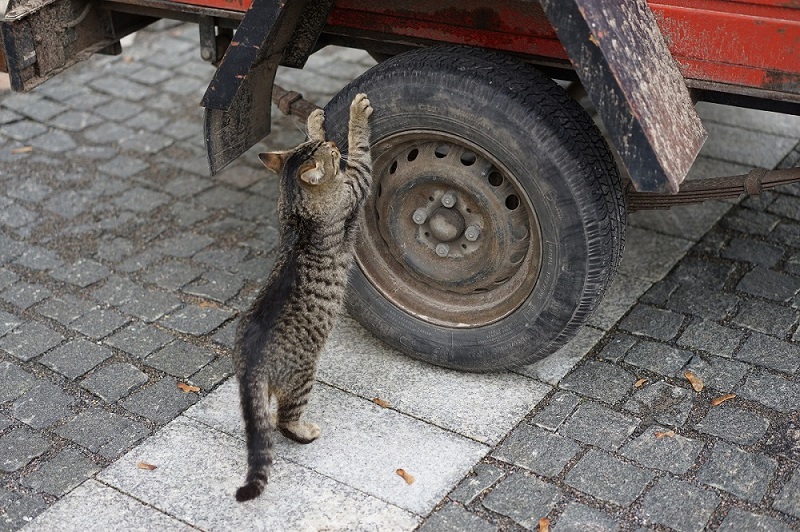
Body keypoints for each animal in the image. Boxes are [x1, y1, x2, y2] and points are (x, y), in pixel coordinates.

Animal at [233, 93, 373, 502]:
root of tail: (250, 364)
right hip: (304, 377)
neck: (297, 207)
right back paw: (305, 431)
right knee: (284, 420)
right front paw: (356, 114)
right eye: (333, 154)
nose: (333, 145)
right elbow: (362, 149)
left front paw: (314, 121)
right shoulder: (358, 181)